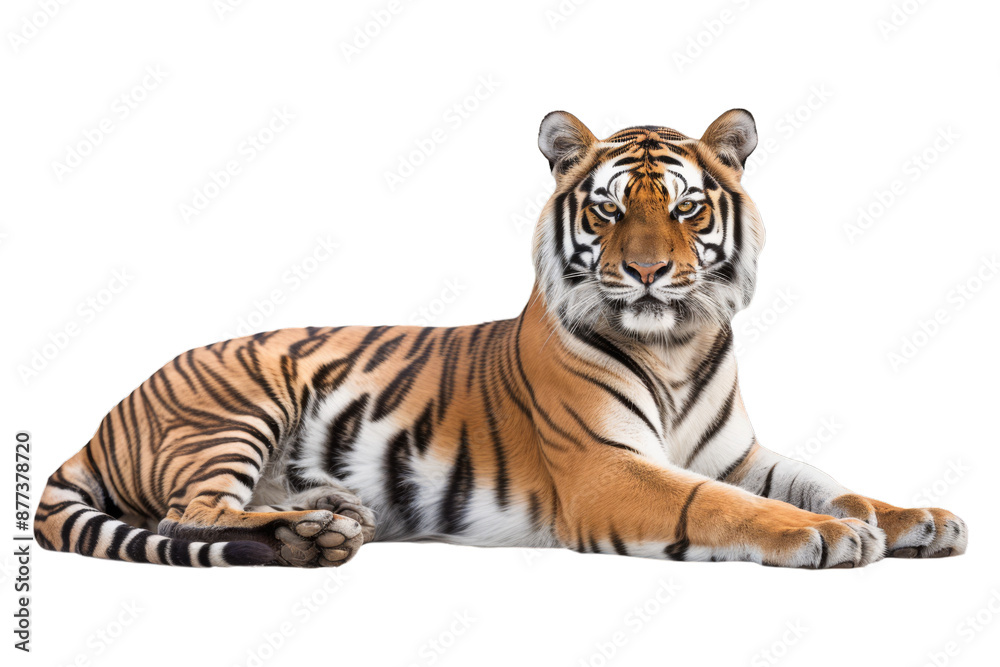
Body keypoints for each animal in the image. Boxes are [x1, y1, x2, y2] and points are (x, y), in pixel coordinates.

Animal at [35, 109, 968, 569]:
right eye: (609, 209)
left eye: (686, 208)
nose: (649, 272)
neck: (675, 346)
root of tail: (104, 417)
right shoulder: (604, 467)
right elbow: (728, 504)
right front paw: (831, 537)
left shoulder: (734, 451)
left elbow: (830, 481)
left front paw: (917, 519)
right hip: (235, 404)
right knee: (191, 512)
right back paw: (310, 535)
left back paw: (334, 516)